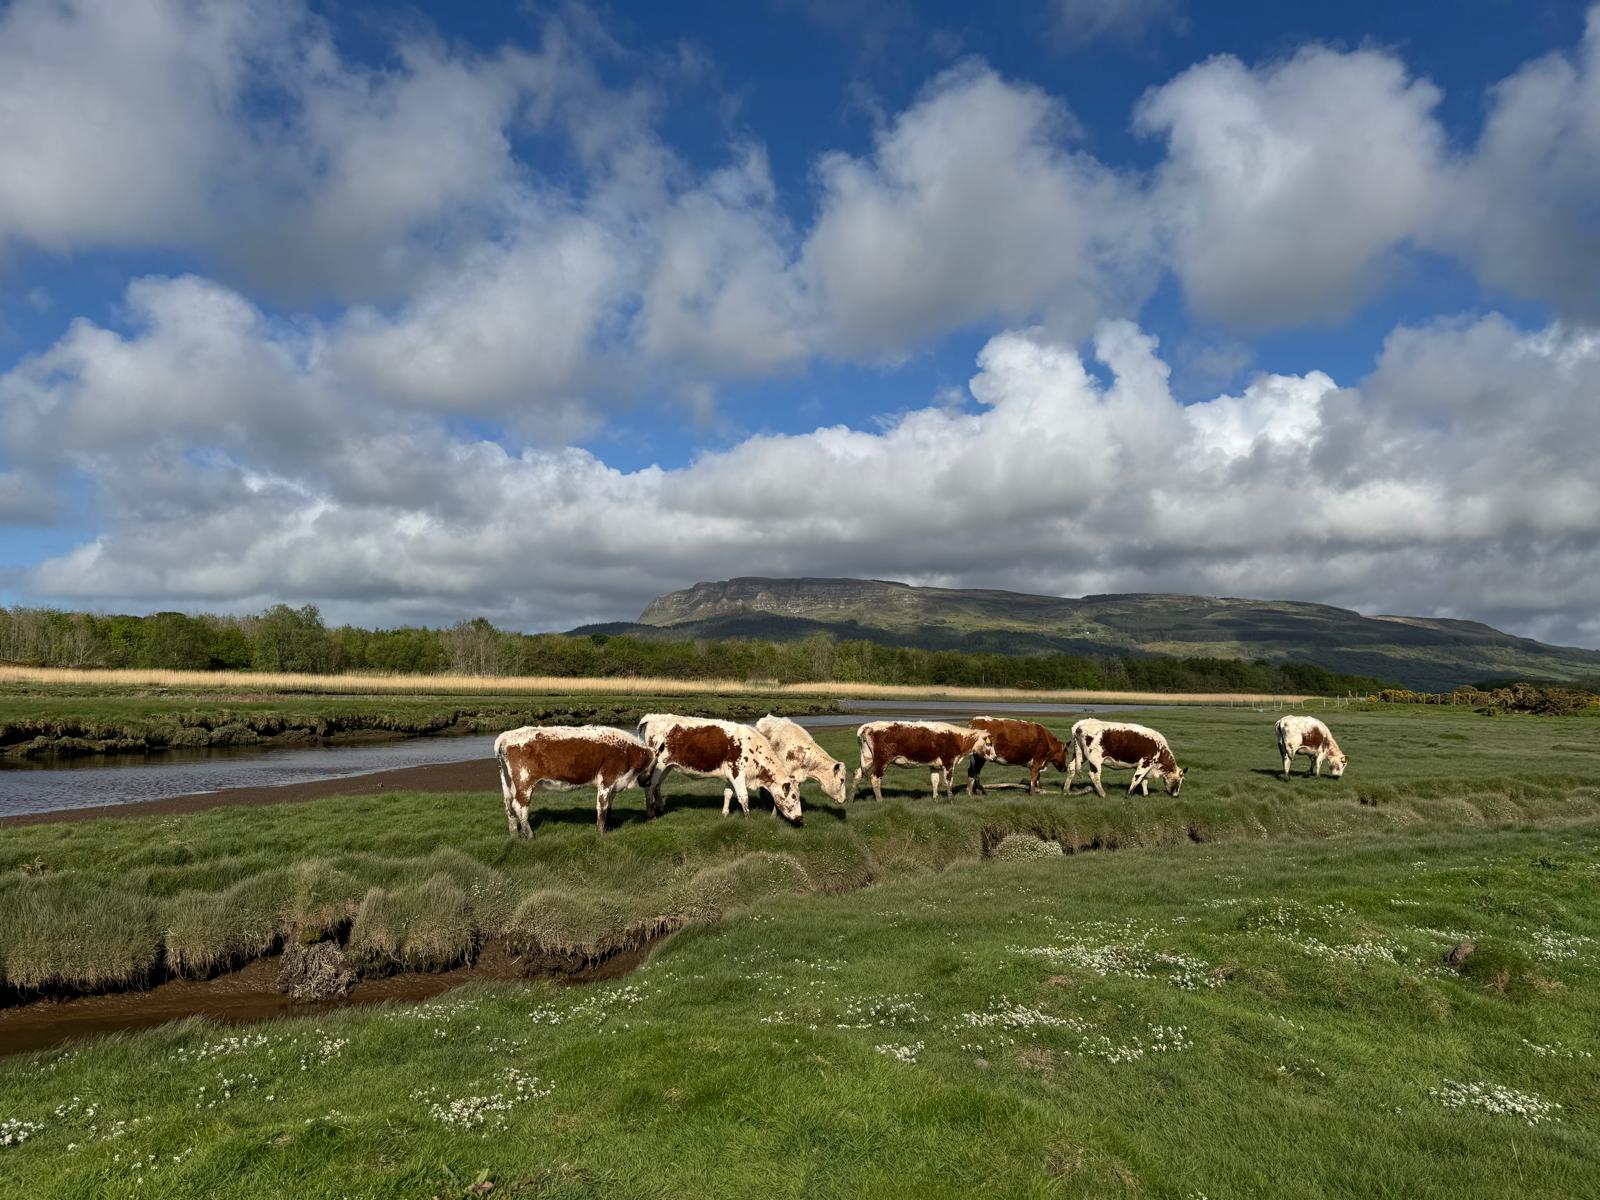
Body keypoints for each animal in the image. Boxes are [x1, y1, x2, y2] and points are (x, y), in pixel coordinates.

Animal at [495, 725, 655, 837]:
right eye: (654, 765)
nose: (646, 783)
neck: (627, 751)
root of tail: (506, 736)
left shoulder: (614, 784)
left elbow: (609, 807)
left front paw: (608, 827)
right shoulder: (607, 780)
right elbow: (602, 807)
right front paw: (600, 833)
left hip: (507, 783)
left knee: (508, 805)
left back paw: (514, 834)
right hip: (524, 782)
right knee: (519, 806)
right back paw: (530, 835)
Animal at [637, 714, 803, 823]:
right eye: (794, 796)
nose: (800, 817)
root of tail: (653, 716)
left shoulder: (731, 774)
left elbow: (728, 793)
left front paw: (724, 813)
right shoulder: (737, 772)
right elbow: (743, 796)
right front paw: (748, 818)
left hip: (667, 767)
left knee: (657, 786)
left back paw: (660, 808)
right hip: (659, 764)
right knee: (649, 786)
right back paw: (651, 813)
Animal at [852, 721, 997, 802]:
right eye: (989, 744)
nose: (994, 756)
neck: (957, 738)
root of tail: (867, 726)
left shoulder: (935, 765)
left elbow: (935, 781)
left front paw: (935, 798)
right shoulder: (948, 762)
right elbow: (948, 781)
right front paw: (951, 799)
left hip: (868, 758)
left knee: (858, 773)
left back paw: (851, 799)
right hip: (882, 760)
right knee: (875, 778)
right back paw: (880, 800)